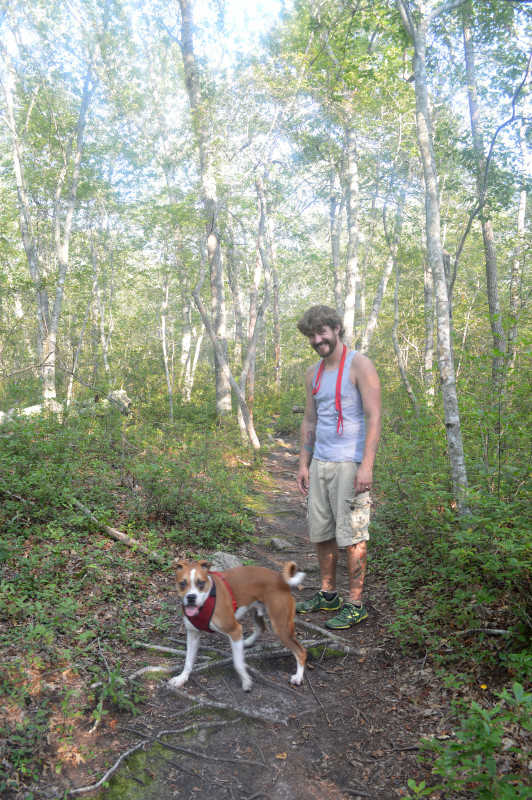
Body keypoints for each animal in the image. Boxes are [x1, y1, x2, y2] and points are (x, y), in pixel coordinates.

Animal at [168, 560, 306, 692]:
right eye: (182, 584)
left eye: (201, 583)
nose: (191, 597)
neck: (206, 600)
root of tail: (280, 578)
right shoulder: (193, 635)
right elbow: (188, 661)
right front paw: (182, 678)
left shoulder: (235, 630)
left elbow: (238, 663)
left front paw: (246, 680)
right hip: (255, 610)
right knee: (261, 628)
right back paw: (247, 642)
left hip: (281, 626)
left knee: (301, 651)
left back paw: (298, 677)